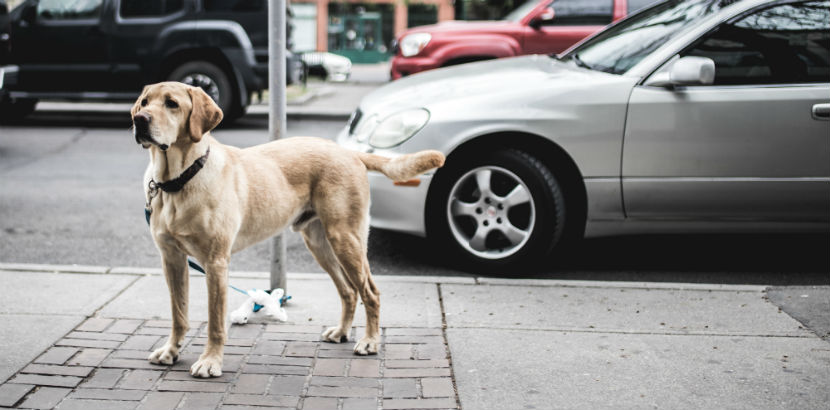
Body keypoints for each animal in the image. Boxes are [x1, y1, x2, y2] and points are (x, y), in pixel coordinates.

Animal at [135, 82, 448, 378]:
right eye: (144, 102)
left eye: (172, 104)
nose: (139, 119)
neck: (177, 181)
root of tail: (349, 152)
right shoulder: (172, 259)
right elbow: (179, 313)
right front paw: (171, 351)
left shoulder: (216, 263)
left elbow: (214, 322)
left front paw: (210, 361)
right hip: (321, 244)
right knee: (348, 291)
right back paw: (342, 332)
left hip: (346, 239)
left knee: (370, 292)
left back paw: (370, 341)